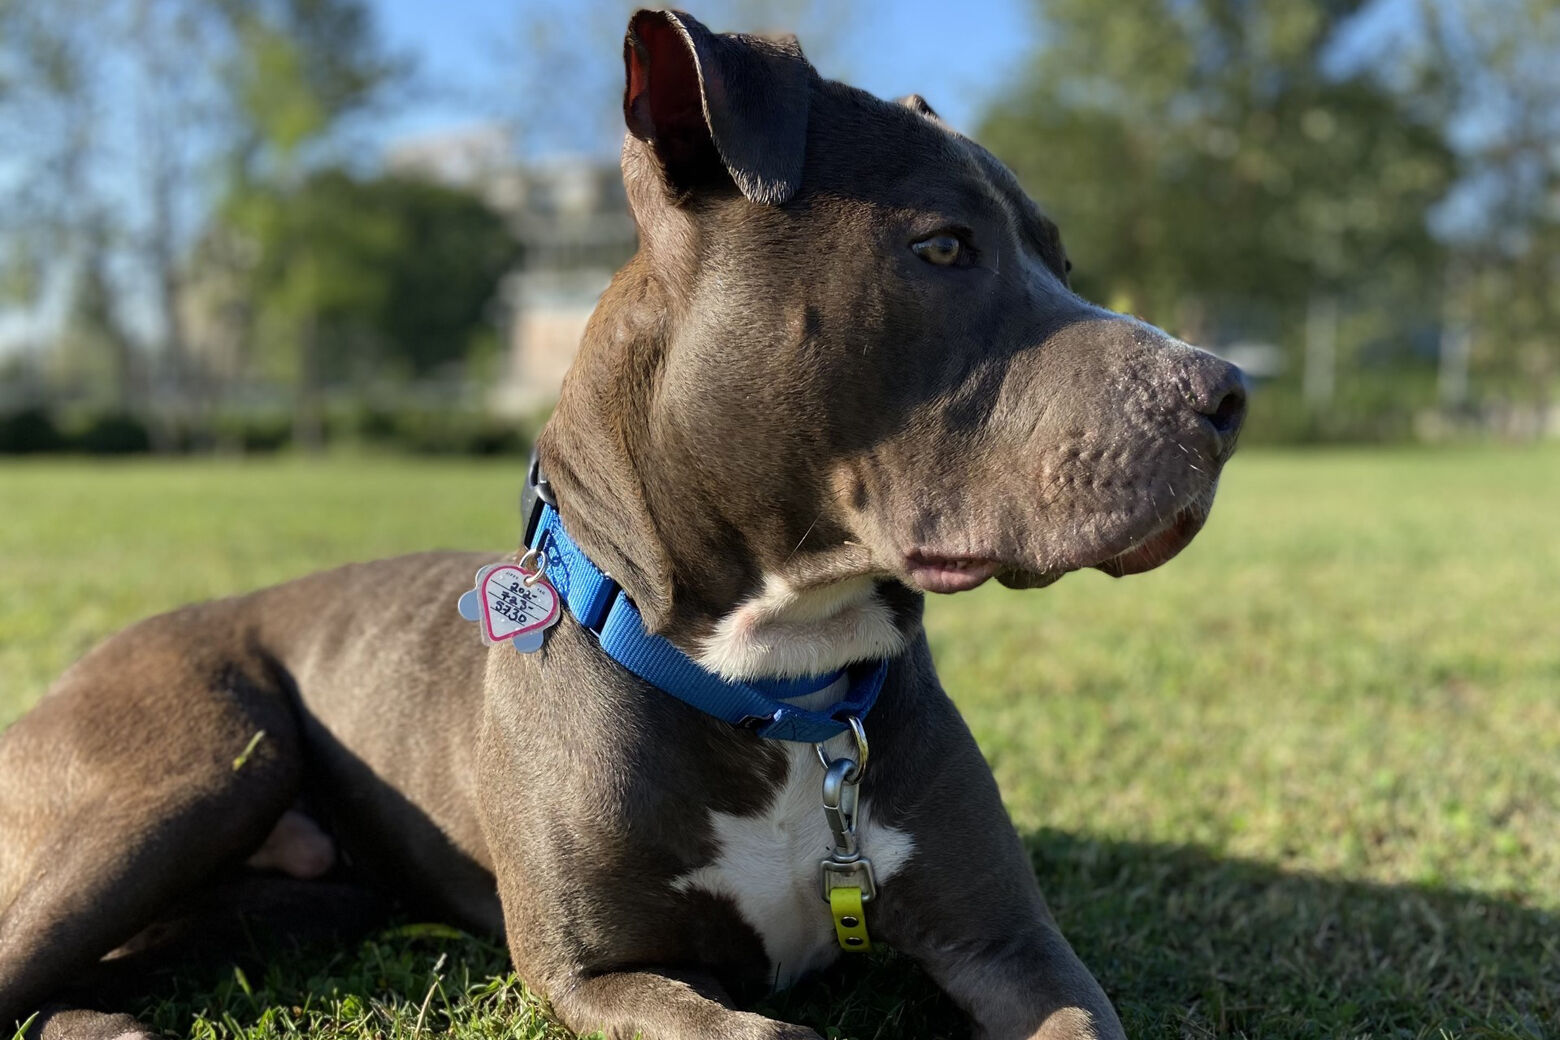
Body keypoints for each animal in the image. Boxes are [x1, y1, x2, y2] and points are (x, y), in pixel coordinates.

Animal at [0, 10, 1241, 1040]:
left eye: (1060, 260)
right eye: (942, 245)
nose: (1227, 392)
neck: (777, 684)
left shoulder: (1013, 944)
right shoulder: (594, 972)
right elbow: (763, 1031)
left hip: (283, 897)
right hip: (185, 776)